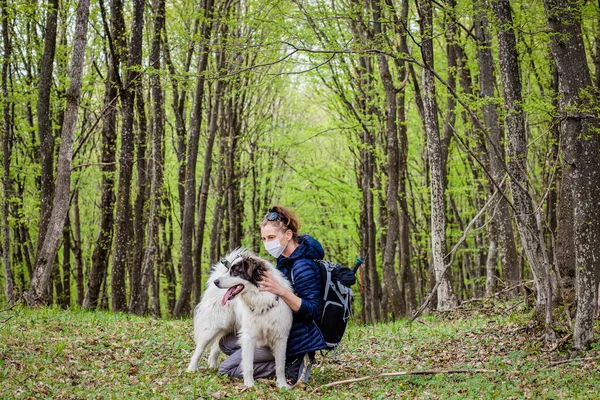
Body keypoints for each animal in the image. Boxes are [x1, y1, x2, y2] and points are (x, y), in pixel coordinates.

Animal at [185, 248, 292, 390]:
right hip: (211, 328)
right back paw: (191, 369)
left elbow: (280, 365)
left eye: (235, 271)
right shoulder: (249, 337)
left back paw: (212, 365)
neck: (261, 298)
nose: (216, 282)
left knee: (216, 345)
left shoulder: (280, 337)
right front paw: (250, 385)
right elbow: (248, 365)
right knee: (199, 349)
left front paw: (282, 385)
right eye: (230, 270)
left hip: (226, 327)